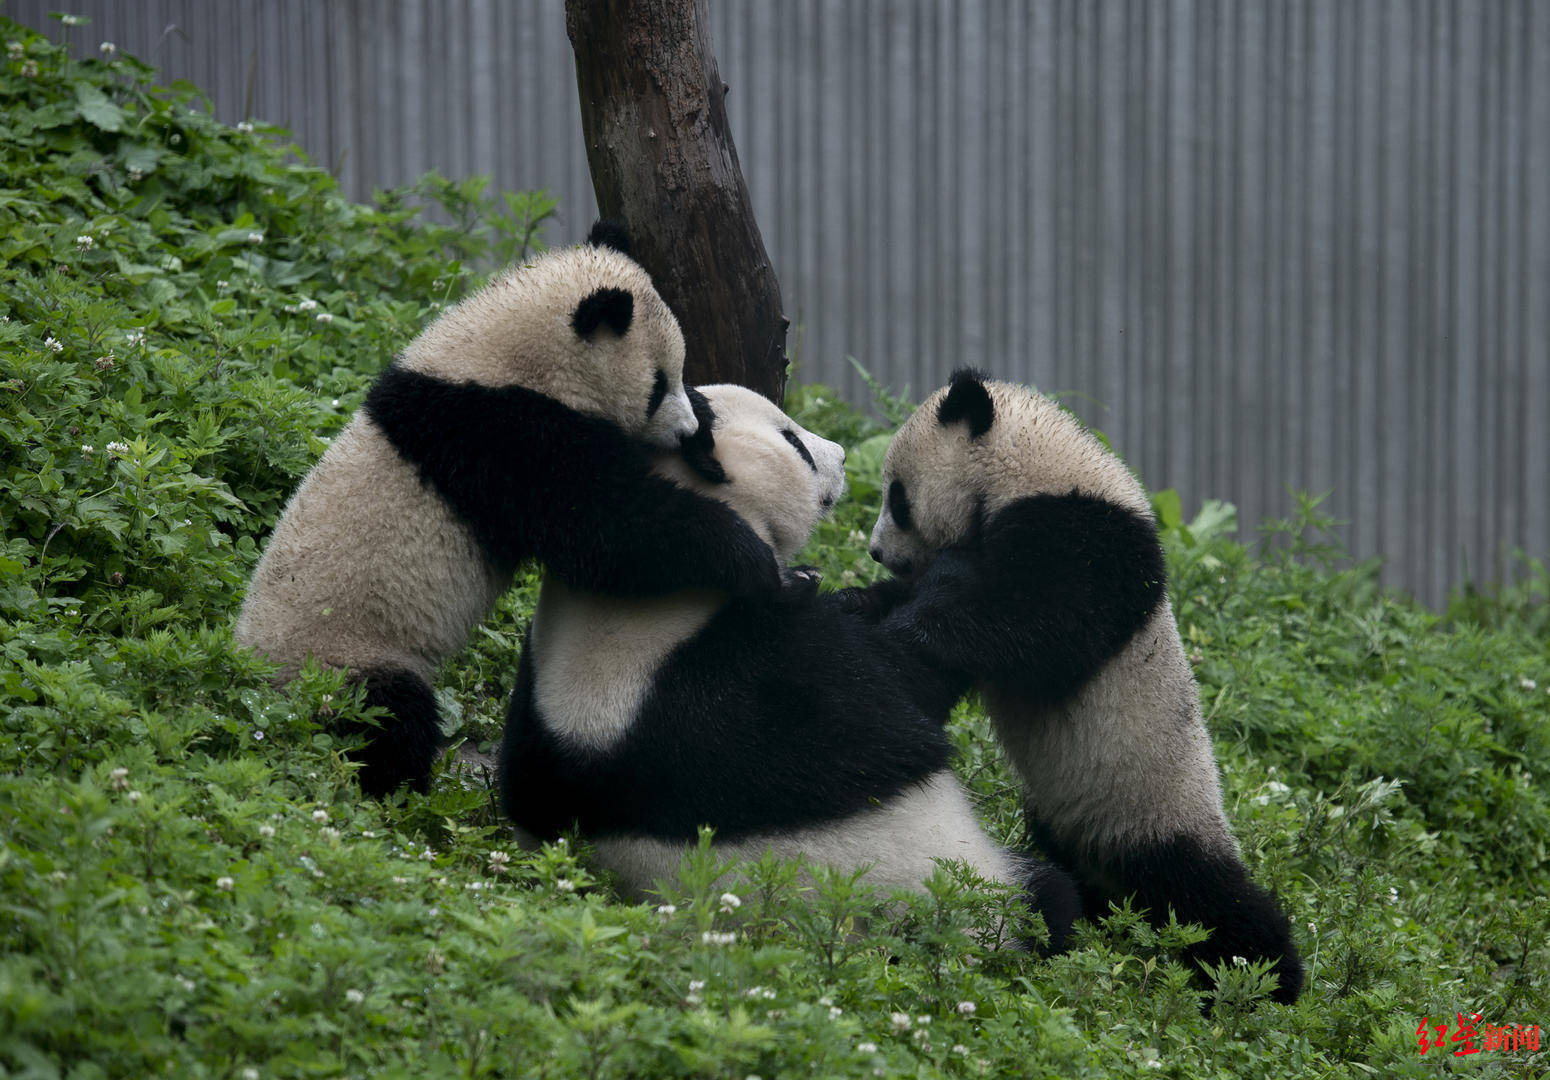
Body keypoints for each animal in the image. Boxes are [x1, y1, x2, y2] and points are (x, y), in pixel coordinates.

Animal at [235, 221, 781, 793]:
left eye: (678, 374)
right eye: (657, 384)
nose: (683, 431)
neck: (495, 356)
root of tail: (252, 682)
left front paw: (705, 434)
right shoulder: (498, 435)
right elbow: (604, 528)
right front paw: (750, 558)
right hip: (338, 658)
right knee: (382, 717)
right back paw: (399, 791)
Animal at [496, 382, 1078, 948]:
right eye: (793, 441)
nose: (841, 456)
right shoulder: (724, 679)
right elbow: (897, 688)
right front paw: (956, 574)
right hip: (958, 891)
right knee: (1042, 902)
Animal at [861, 370, 1308, 1004]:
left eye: (896, 498)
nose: (876, 551)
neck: (1036, 470)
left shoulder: (1090, 540)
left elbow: (1034, 622)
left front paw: (917, 628)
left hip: (1155, 812)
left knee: (1209, 900)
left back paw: (1265, 981)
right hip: (1068, 825)